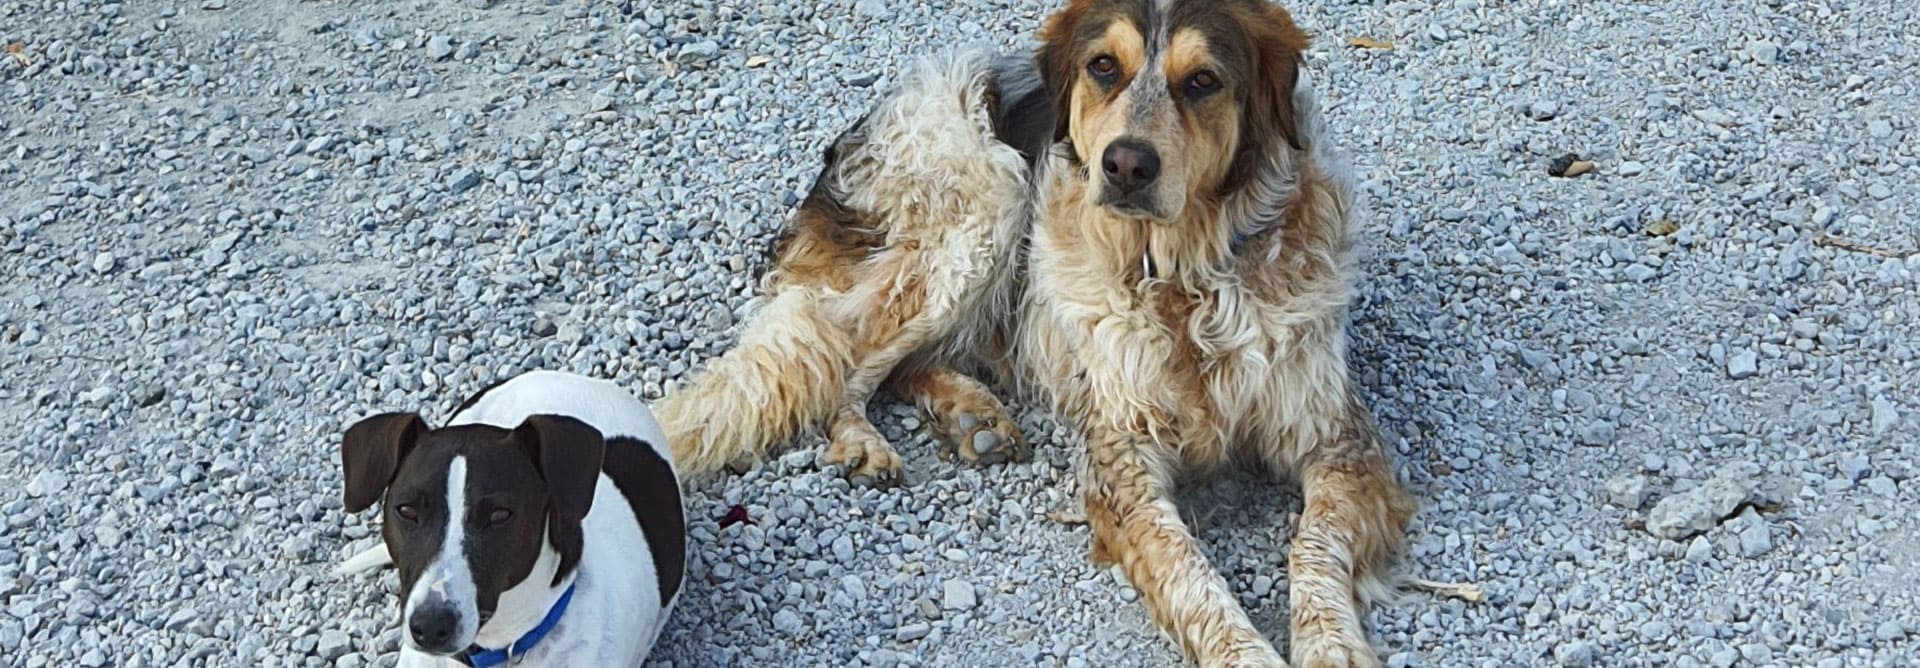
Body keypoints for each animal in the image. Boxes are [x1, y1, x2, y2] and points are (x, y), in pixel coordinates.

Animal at [660, 0, 1428, 664]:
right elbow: (1193, 578)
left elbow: (1311, 548)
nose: (1125, 164)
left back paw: (972, 416)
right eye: (1104, 67)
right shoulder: (1122, 459)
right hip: (988, 201)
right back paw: (867, 440)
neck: (1185, 281)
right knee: (854, 360)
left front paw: (1331, 647)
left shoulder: (1341, 442)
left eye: (1203, 81)